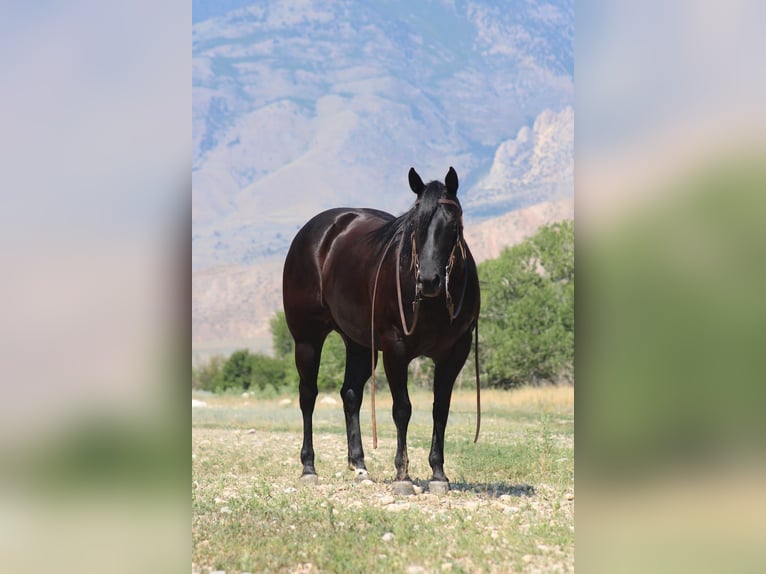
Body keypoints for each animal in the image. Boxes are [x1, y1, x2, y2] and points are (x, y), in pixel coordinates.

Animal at [282, 166, 480, 493]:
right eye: (414, 225)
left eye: (453, 224)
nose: (428, 281)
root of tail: (317, 232)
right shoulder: (396, 350)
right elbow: (402, 409)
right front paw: (403, 476)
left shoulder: (454, 353)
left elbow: (441, 408)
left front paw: (438, 474)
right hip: (307, 340)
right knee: (308, 395)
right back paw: (309, 468)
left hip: (359, 344)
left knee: (350, 394)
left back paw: (360, 466)